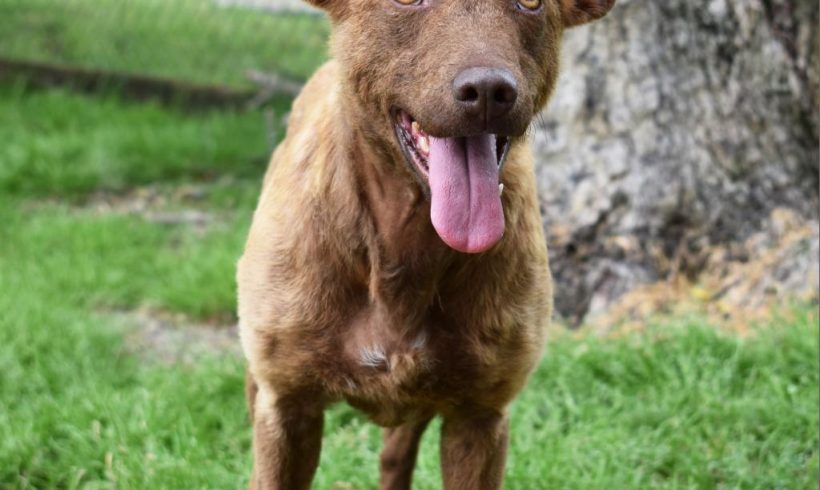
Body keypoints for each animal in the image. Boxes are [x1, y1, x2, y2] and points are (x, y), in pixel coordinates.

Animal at [237, 1, 616, 488]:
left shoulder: (479, 417)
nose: (489, 90)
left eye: (531, 4)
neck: (401, 248)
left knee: (395, 458)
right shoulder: (287, 408)